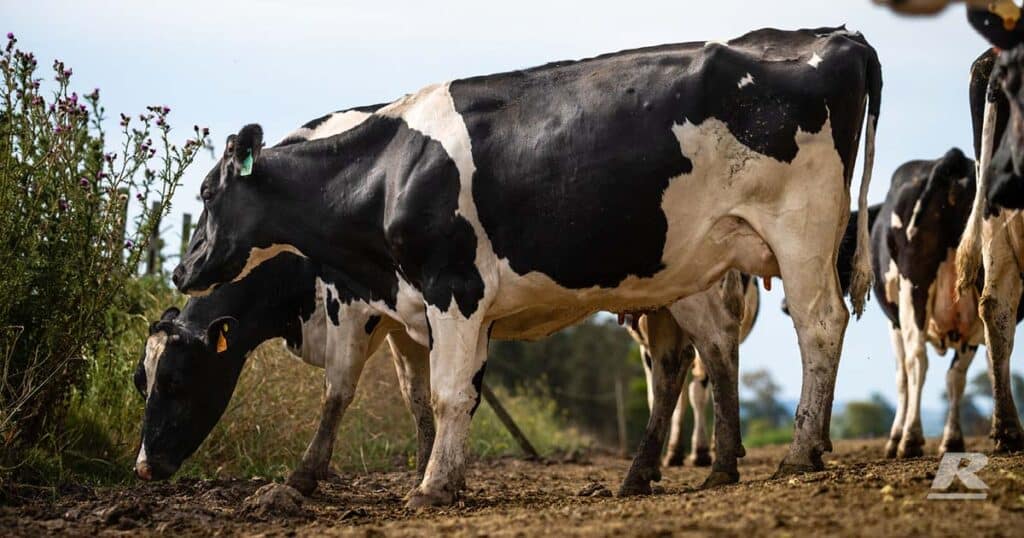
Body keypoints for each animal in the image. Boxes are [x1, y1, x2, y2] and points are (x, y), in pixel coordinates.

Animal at [171, 27, 882, 507]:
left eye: (205, 193)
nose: (182, 271)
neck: (389, 170)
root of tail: (835, 36)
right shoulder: (423, 304)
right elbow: (447, 393)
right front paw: (445, 477)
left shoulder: (451, 287)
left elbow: (440, 392)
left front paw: (430, 487)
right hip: (706, 258)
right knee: (709, 351)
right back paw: (710, 468)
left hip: (802, 230)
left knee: (819, 324)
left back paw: (800, 452)